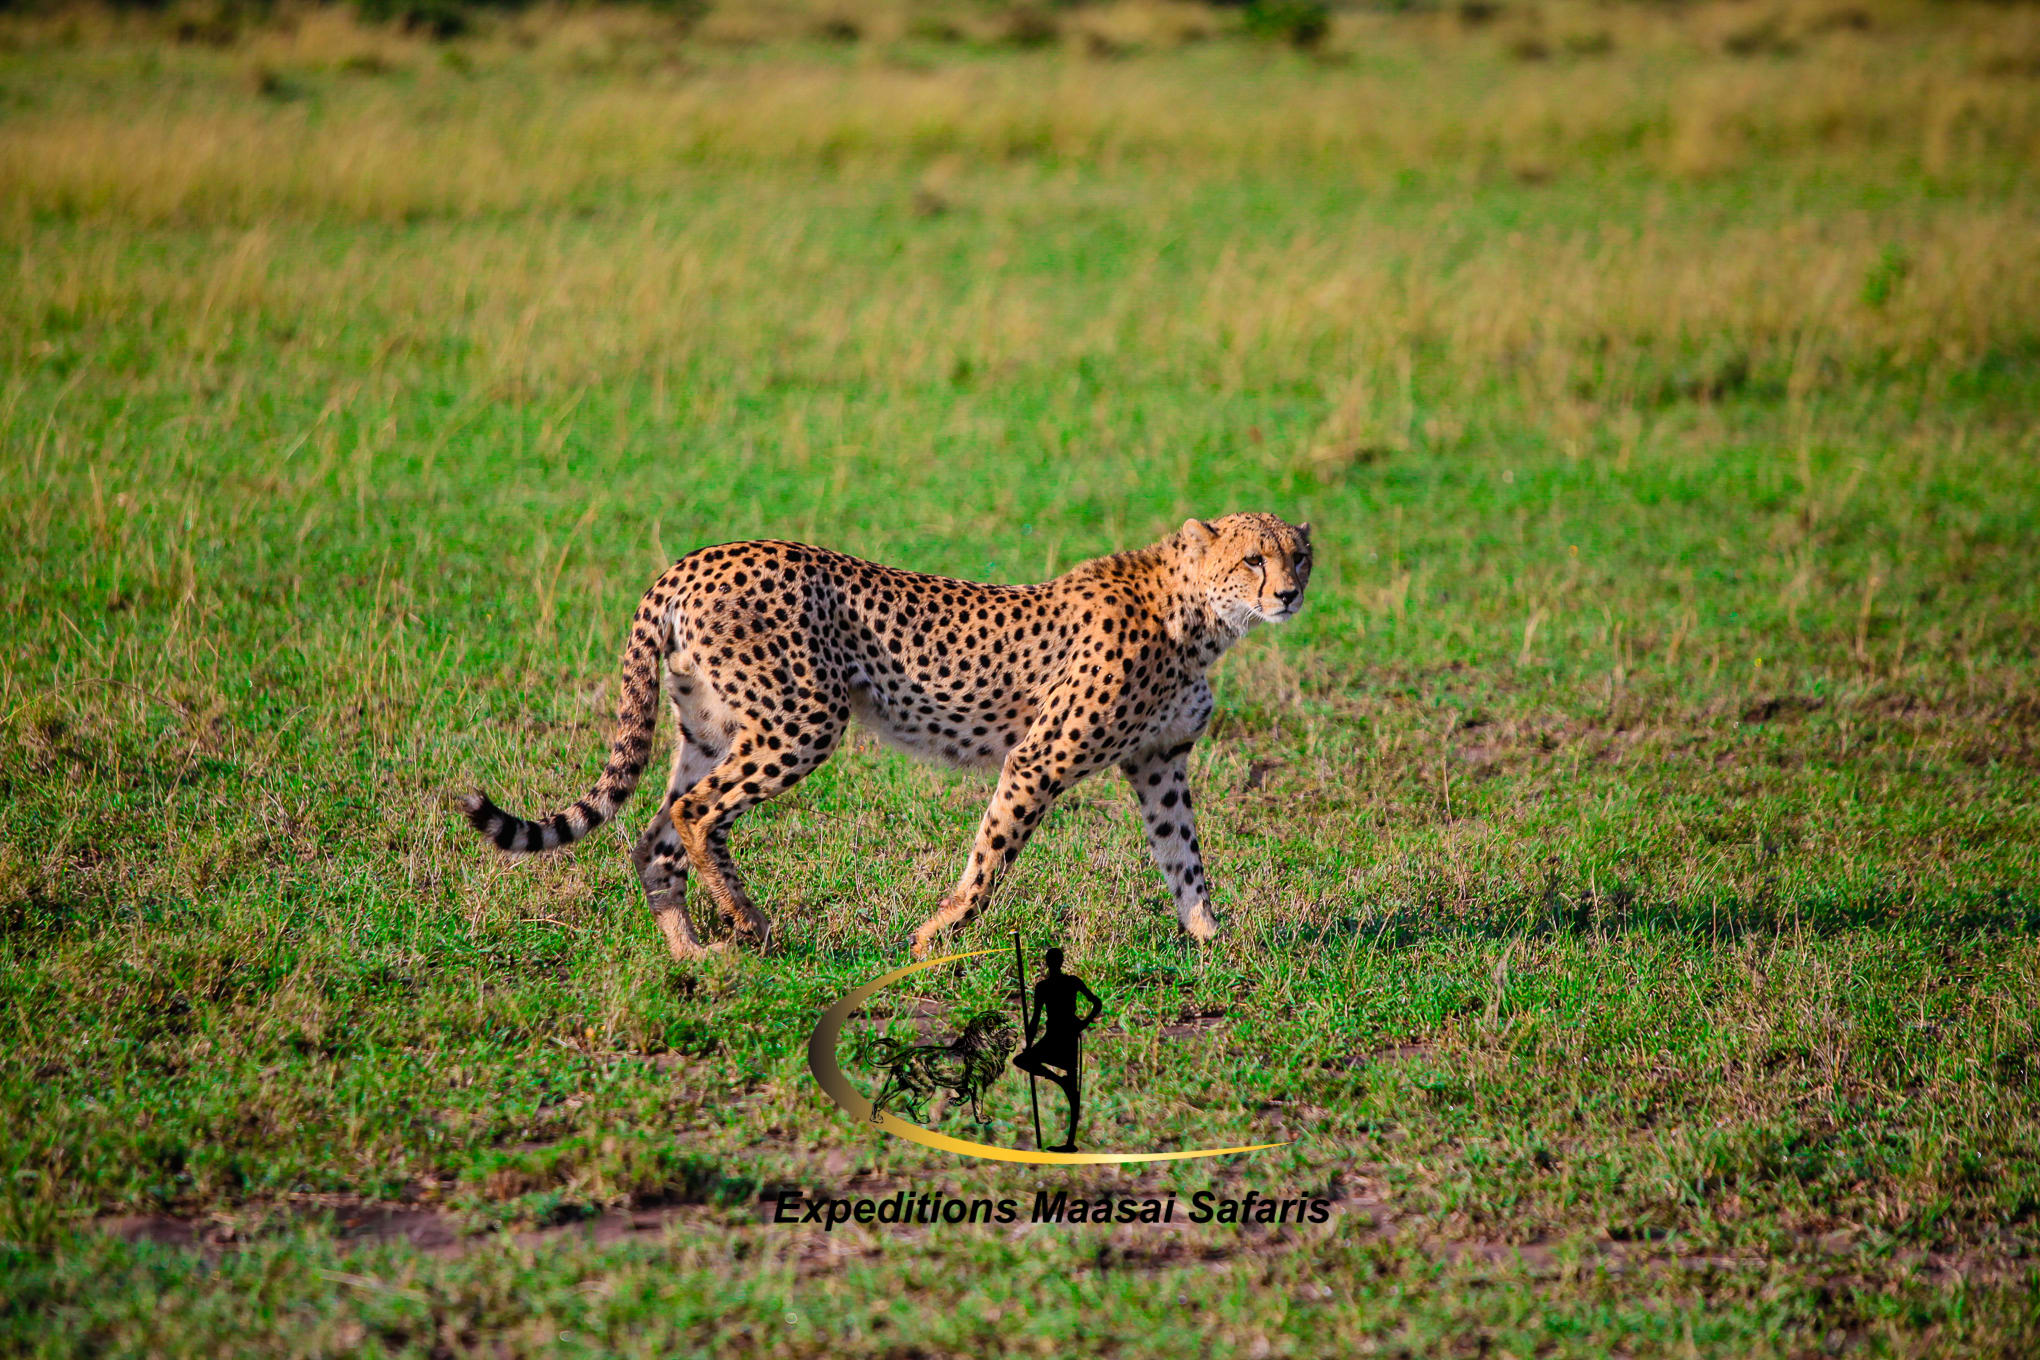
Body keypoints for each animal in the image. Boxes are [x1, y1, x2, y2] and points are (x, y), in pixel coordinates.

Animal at [458, 512, 1313, 961]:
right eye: (1252, 558)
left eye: (1298, 554)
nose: (1290, 594)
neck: (1195, 616)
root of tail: (696, 558)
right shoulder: (1038, 759)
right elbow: (990, 861)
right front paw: (935, 939)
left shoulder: (1158, 761)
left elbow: (1184, 858)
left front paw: (1215, 941)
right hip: (800, 719)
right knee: (697, 813)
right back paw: (748, 923)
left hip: (709, 726)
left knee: (656, 830)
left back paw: (693, 952)